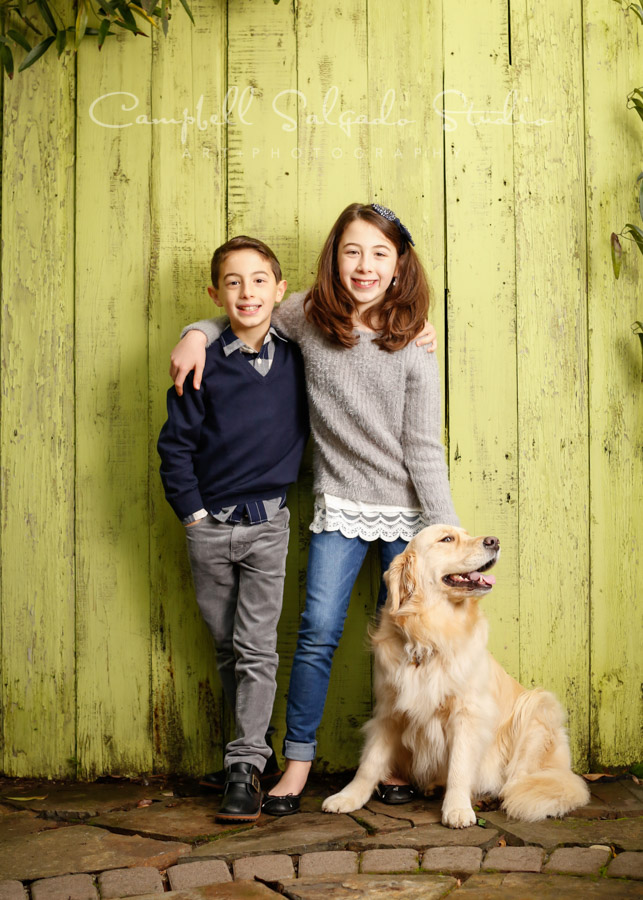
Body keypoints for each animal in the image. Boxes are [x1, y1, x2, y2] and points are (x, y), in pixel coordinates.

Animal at [324, 524, 592, 828]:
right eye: (447, 539)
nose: (494, 541)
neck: (430, 634)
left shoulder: (468, 713)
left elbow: (459, 767)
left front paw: (457, 808)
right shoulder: (389, 711)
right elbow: (369, 763)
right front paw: (348, 797)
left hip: (536, 706)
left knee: (520, 779)